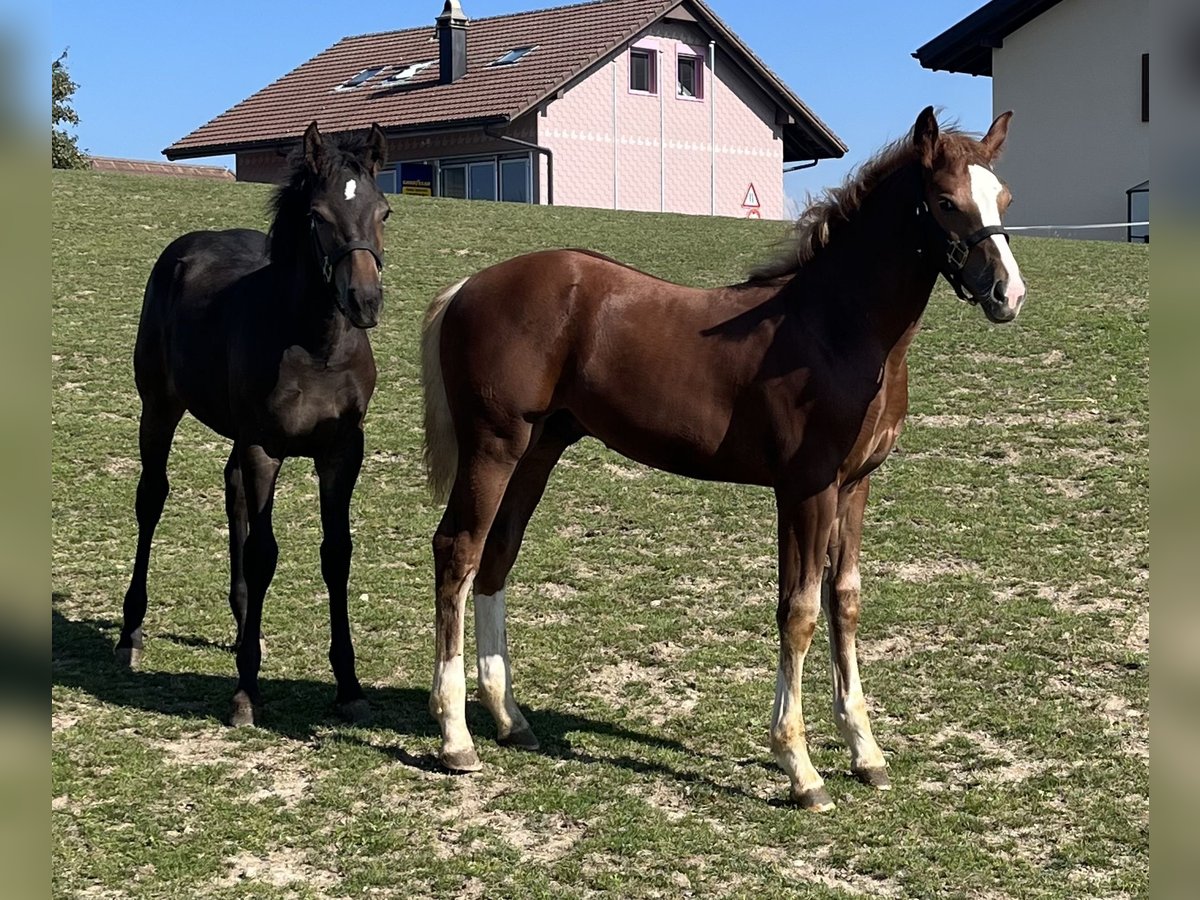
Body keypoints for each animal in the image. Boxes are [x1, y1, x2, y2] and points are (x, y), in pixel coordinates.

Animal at [117, 121, 391, 724]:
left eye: (384, 211)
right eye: (318, 216)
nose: (364, 301)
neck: (315, 346)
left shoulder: (342, 451)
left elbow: (337, 553)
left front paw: (349, 686)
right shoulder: (265, 446)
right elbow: (265, 553)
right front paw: (246, 691)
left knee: (233, 492)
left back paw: (246, 628)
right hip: (160, 406)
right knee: (152, 497)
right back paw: (131, 634)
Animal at [420, 109, 1022, 816]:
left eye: (1005, 198)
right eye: (946, 202)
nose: (1009, 293)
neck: (835, 327)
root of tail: (468, 286)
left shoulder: (854, 487)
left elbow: (843, 601)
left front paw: (866, 753)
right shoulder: (805, 489)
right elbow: (799, 610)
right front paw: (800, 768)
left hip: (536, 452)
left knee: (496, 556)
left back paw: (509, 718)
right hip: (493, 447)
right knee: (458, 552)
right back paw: (456, 738)